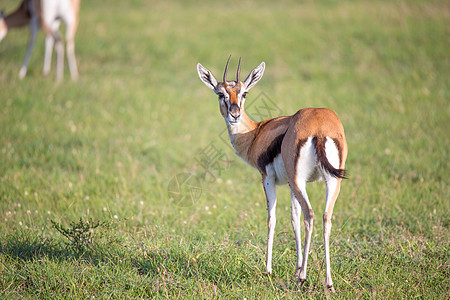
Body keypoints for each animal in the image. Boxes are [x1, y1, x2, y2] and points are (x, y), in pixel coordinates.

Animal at [197, 57, 348, 292]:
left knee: (310, 215)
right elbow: (294, 218)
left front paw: (269, 269)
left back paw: (303, 277)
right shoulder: (291, 185)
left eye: (244, 93)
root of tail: (320, 127)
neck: (256, 133)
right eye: (221, 93)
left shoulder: (268, 179)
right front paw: (296, 266)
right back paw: (328, 282)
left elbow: (272, 218)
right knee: (325, 217)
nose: (234, 114)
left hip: (300, 180)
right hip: (329, 181)